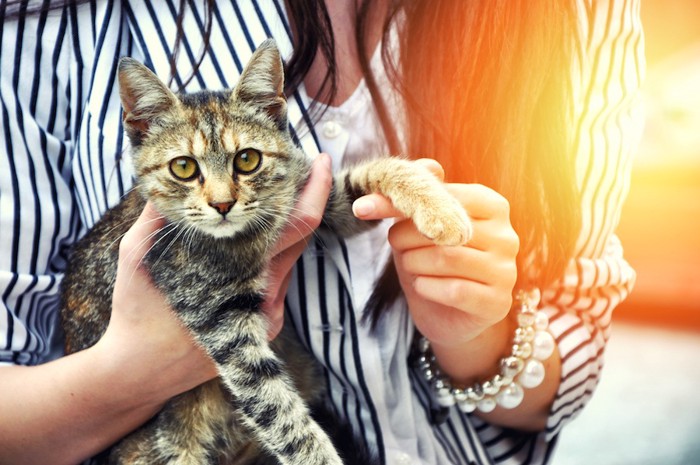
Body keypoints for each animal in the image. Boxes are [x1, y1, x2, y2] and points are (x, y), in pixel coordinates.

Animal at [61, 40, 470, 464]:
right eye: (184, 168)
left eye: (247, 159)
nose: (222, 204)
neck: (247, 236)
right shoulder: (221, 322)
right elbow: (277, 410)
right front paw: (317, 455)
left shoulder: (312, 199)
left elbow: (367, 175)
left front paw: (438, 205)